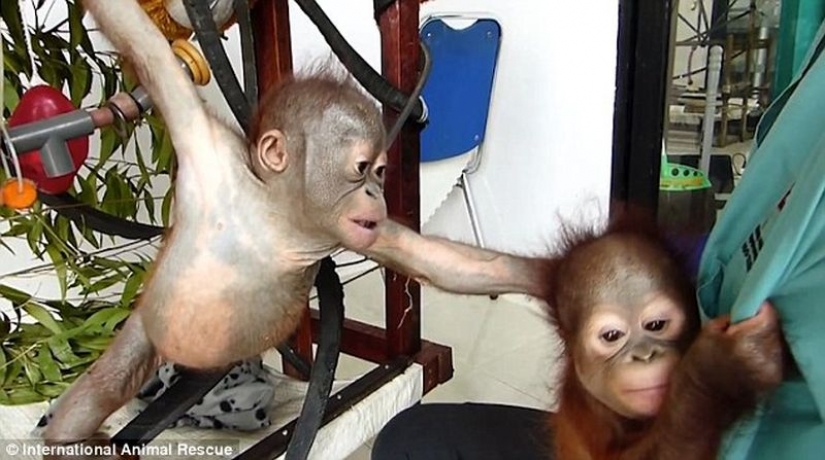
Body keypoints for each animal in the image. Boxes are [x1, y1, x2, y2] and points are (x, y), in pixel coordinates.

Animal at [41, 1, 548, 457]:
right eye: (361, 169)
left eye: (381, 172)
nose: (376, 194)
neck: (274, 213)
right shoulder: (206, 143)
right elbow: (147, 48)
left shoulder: (364, 231)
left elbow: (446, 263)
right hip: (150, 329)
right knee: (101, 389)